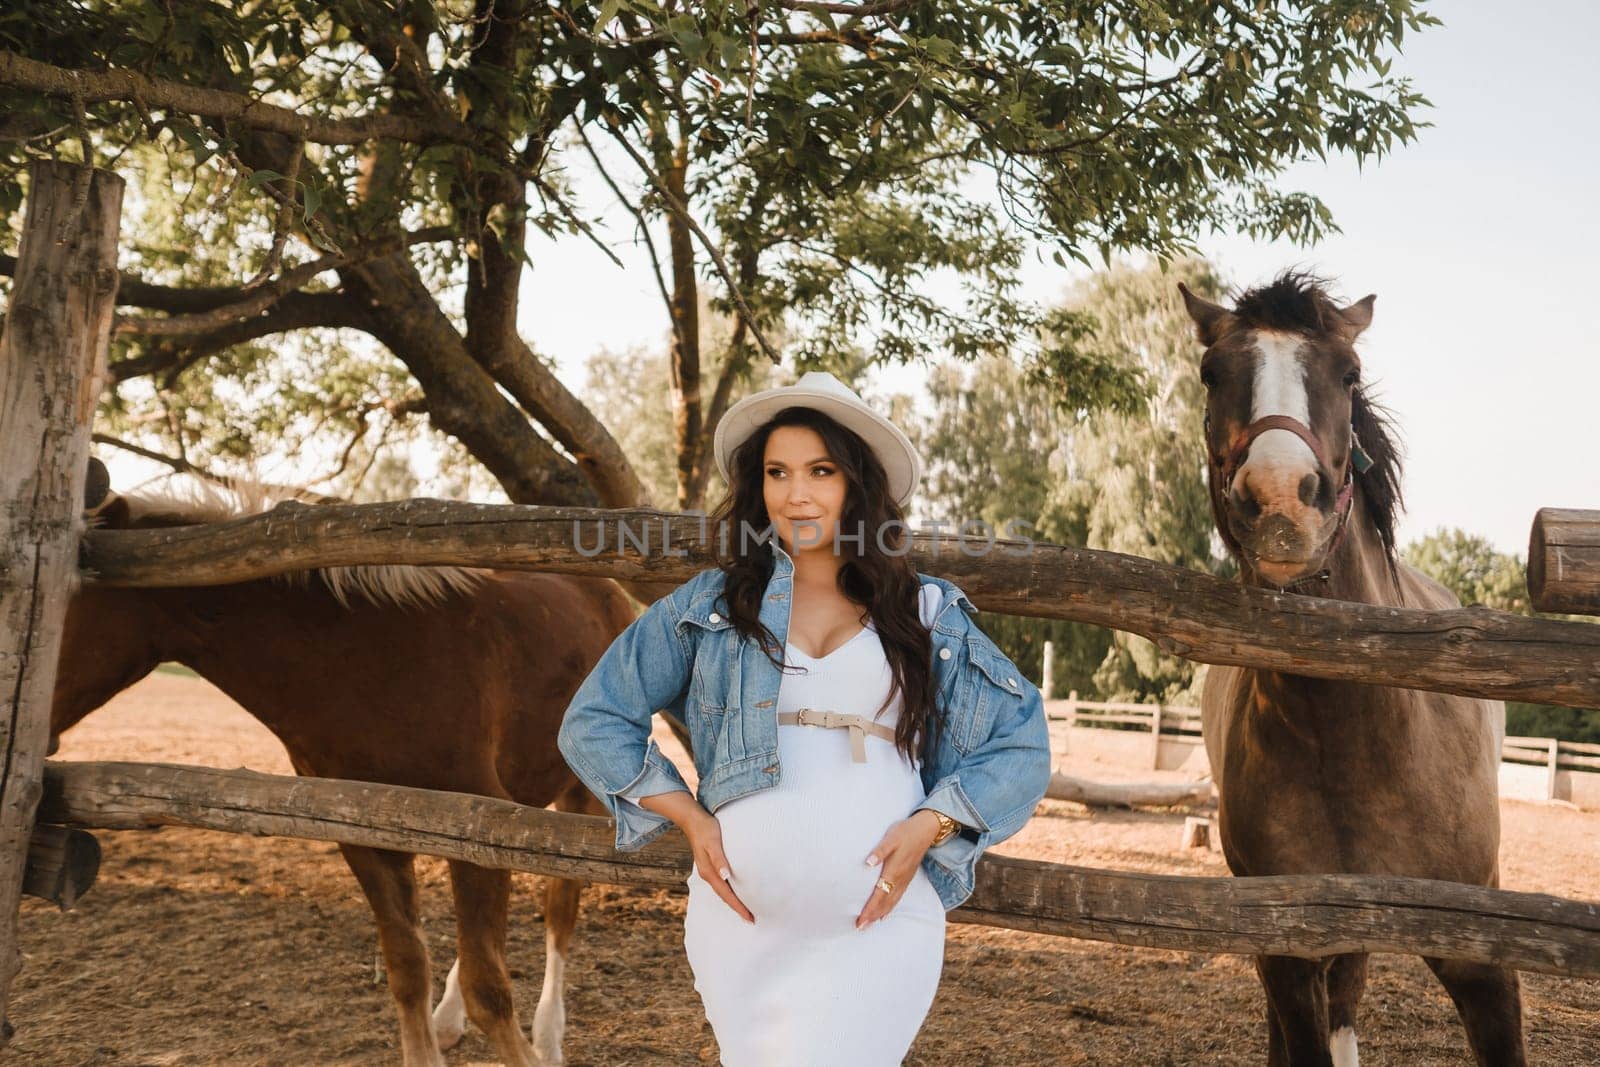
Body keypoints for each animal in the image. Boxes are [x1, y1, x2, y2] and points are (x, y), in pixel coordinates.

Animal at [58, 470, 630, 1067]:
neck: (368, 665)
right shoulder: (367, 837)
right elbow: (408, 969)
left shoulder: (475, 818)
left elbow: (489, 990)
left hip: (580, 795)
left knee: (560, 910)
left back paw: (548, 1034)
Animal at [1190, 275, 1523, 1067]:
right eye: (1211, 373)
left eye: (1349, 373)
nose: (1281, 500)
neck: (1351, 739)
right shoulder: (1287, 946)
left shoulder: (1483, 957)